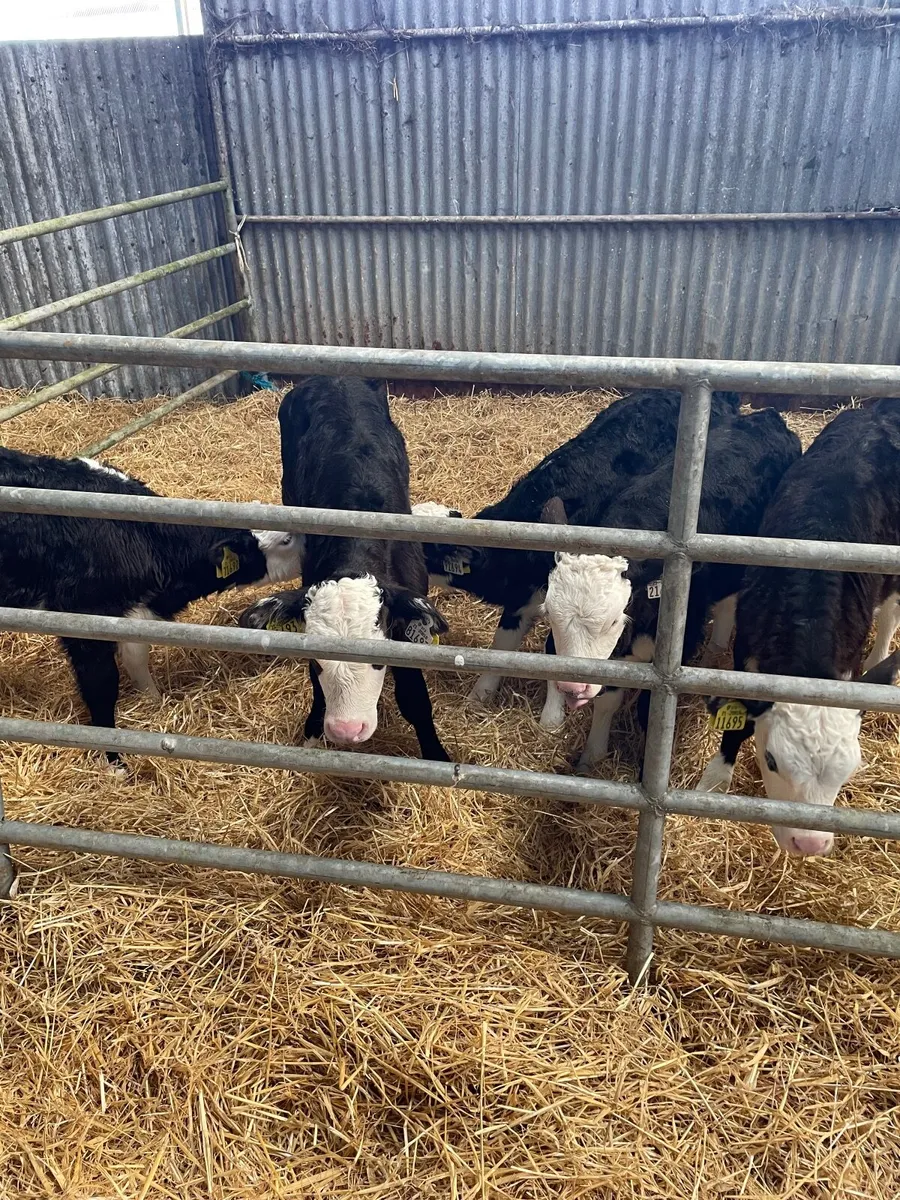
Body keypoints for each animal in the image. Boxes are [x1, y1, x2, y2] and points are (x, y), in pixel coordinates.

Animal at [0, 448, 303, 769]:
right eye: (286, 539)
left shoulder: (133, 614)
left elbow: (137, 659)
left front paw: (153, 701)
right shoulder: (82, 619)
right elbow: (101, 686)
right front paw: (114, 761)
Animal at [239, 377, 450, 761]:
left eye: (379, 660)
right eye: (316, 660)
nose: (346, 731)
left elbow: (414, 697)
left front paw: (435, 754)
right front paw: (312, 729)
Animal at [540, 407, 802, 767]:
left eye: (612, 620)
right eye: (550, 614)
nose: (571, 688)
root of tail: (767, 416)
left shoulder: (681, 642)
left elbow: (649, 711)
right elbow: (608, 700)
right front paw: (592, 756)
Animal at [699, 399, 900, 855]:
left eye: (851, 768)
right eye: (772, 760)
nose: (809, 842)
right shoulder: (747, 650)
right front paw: (714, 781)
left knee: (890, 614)